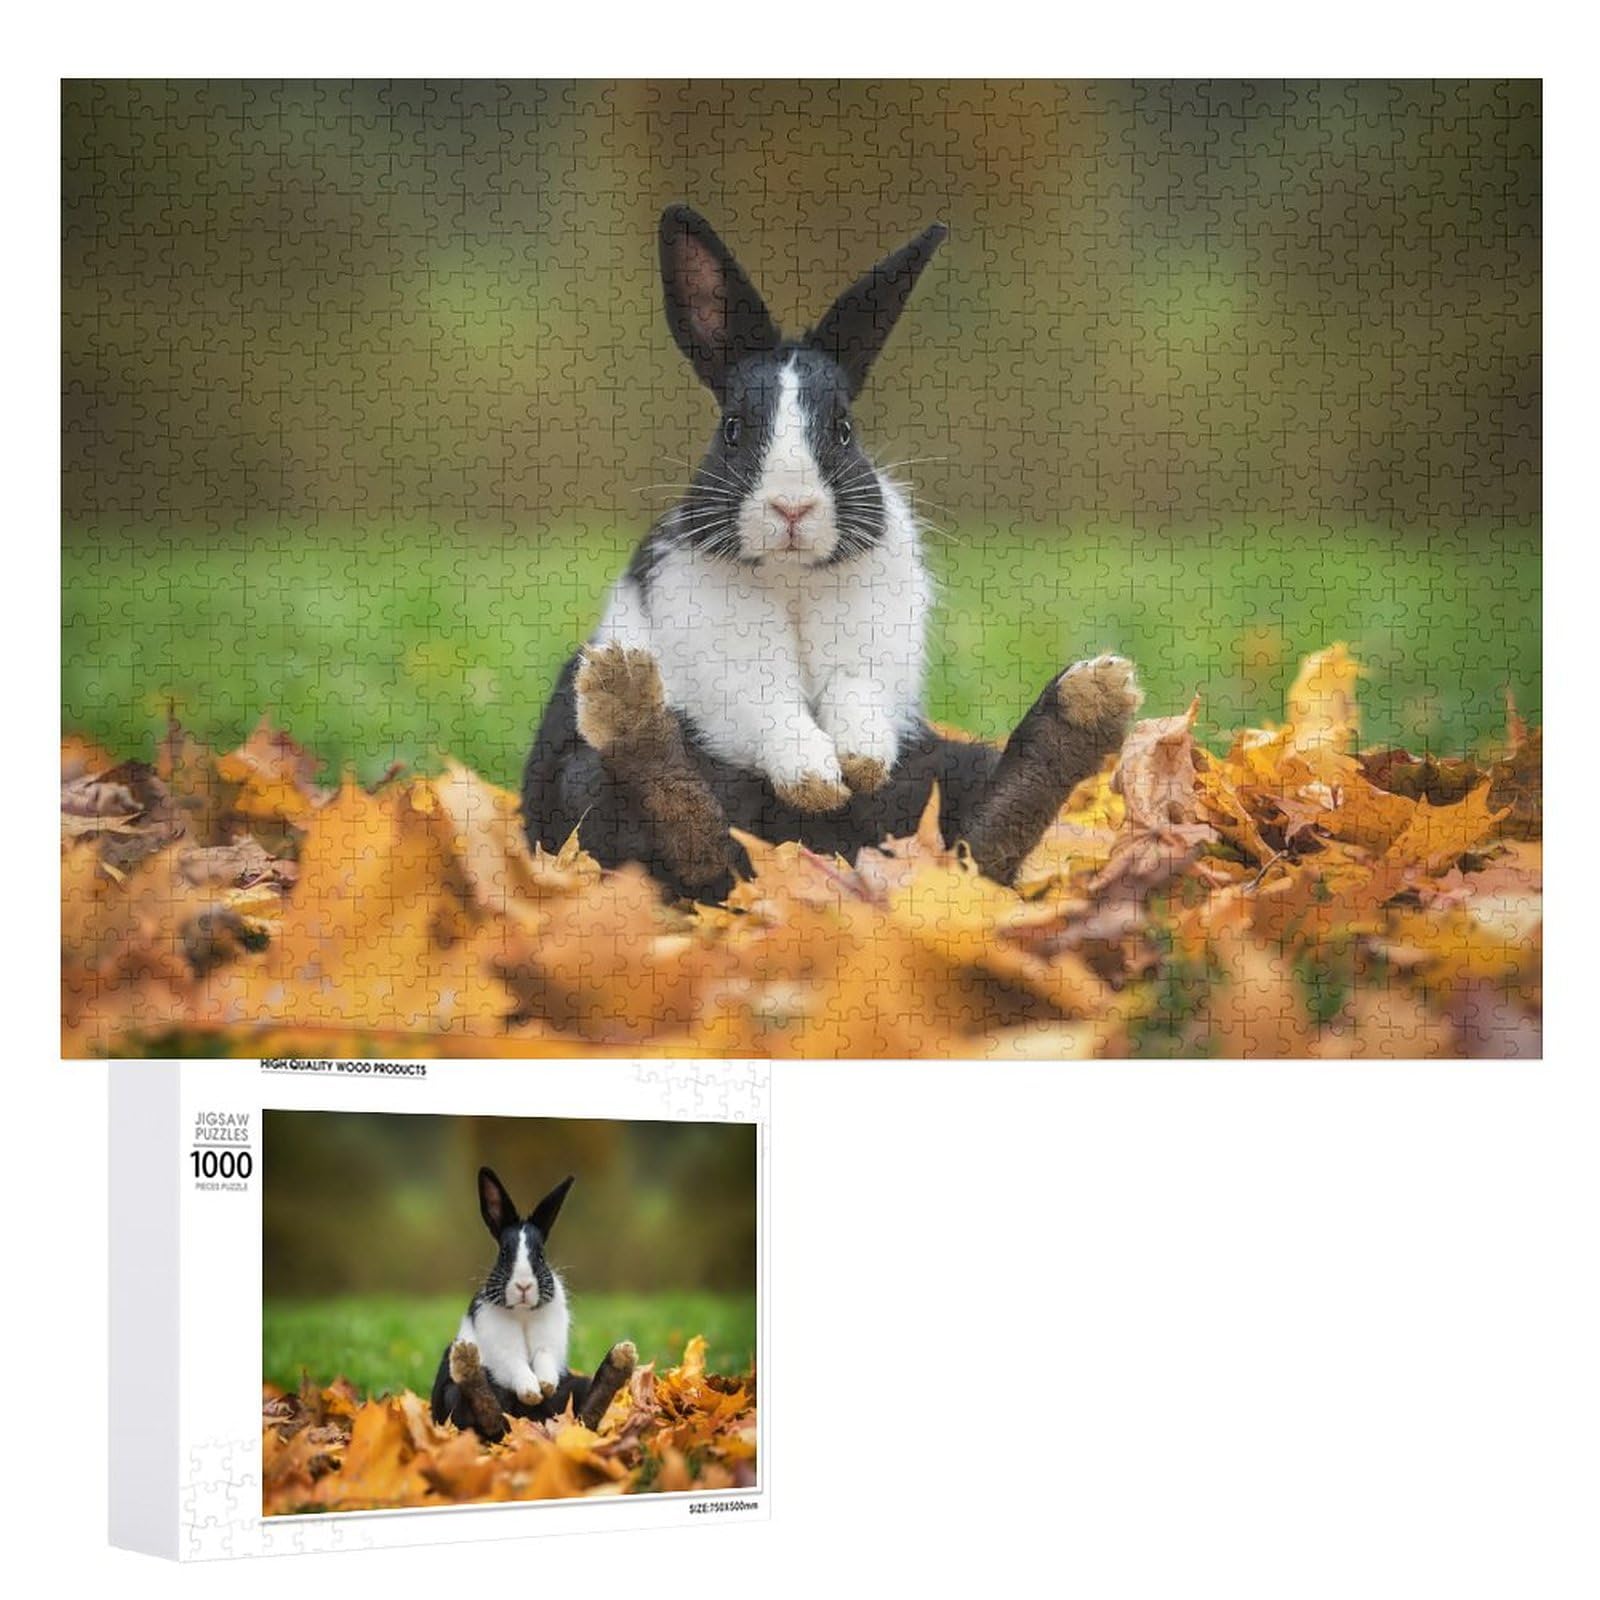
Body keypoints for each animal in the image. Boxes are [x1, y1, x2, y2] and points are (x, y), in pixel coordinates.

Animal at [430, 1167, 636, 1440]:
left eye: (540, 1255)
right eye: (504, 1254)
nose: (524, 1286)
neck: (523, 1313)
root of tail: (529, 1421)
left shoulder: (549, 1343)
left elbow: (543, 1357)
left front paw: (545, 1385)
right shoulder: (502, 1348)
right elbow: (516, 1363)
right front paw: (531, 1391)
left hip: (575, 1388)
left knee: (585, 1416)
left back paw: (620, 1360)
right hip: (452, 1395)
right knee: (488, 1414)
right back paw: (466, 1363)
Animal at [522, 206, 1143, 901]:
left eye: (844, 429)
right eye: (733, 429)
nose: (792, 508)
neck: (794, 579)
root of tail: (831, 857)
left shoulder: (873, 645)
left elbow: (855, 695)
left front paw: (859, 763)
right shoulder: (723, 651)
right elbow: (772, 708)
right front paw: (817, 780)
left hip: (947, 769)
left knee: (980, 844)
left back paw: (1087, 705)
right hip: (584, 782)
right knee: (691, 838)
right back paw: (627, 700)